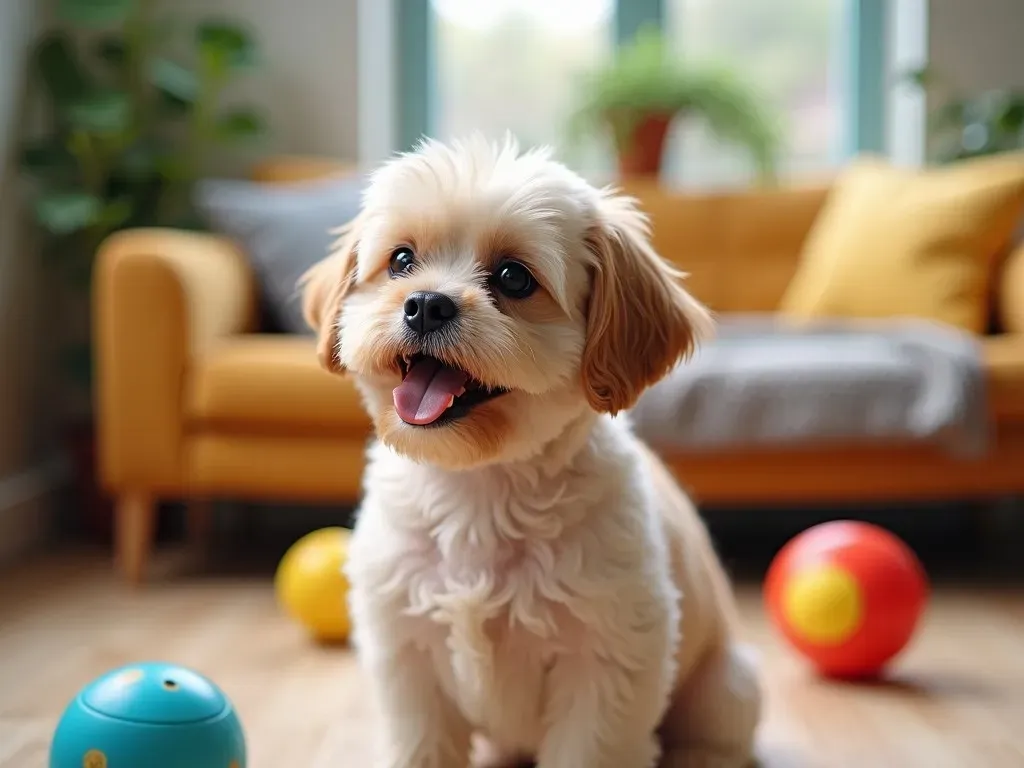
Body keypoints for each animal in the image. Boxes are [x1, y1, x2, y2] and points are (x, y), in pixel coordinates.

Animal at [299, 135, 761, 765]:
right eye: (400, 261)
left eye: (513, 278)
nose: (426, 303)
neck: (478, 485)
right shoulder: (406, 659)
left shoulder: (607, 665)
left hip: (727, 690)